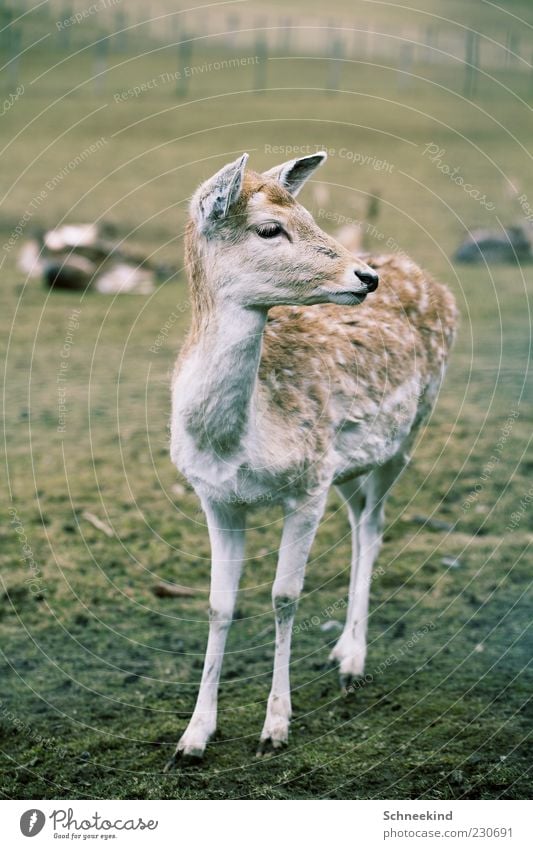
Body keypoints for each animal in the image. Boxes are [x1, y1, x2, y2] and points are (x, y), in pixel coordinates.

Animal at [167, 149, 458, 764]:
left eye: (308, 214)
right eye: (268, 228)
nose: (366, 277)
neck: (236, 441)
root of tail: (423, 274)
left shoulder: (307, 484)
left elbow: (284, 596)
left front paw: (275, 726)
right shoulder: (215, 497)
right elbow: (218, 605)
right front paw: (194, 736)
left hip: (405, 436)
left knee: (373, 528)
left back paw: (353, 661)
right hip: (348, 464)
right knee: (358, 521)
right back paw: (342, 650)